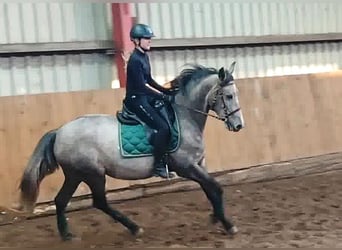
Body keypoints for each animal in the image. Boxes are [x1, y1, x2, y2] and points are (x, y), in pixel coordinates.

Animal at [17, 61, 244, 241]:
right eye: (228, 96)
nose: (239, 125)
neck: (185, 116)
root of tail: (60, 132)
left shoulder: (199, 164)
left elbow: (210, 189)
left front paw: (216, 217)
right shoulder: (186, 167)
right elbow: (216, 187)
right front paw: (228, 224)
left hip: (75, 175)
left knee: (61, 200)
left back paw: (67, 235)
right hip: (93, 174)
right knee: (99, 202)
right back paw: (134, 228)